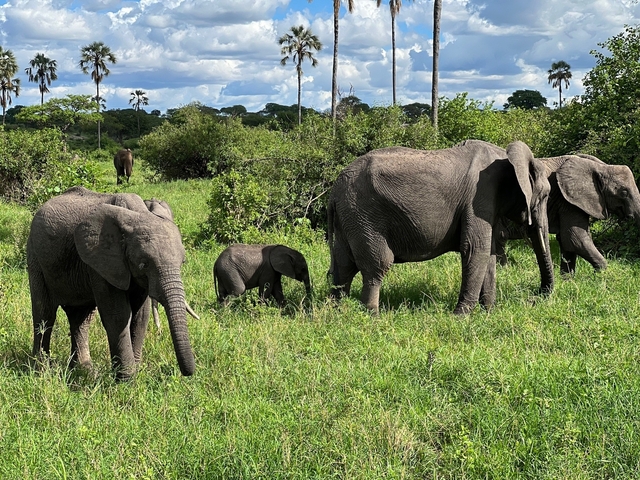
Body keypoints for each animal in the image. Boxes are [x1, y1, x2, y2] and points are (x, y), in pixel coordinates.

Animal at [27, 186, 196, 380]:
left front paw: (134, 374)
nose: (188, 373)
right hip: (36, 257)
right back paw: (41, 371)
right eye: (144, 264)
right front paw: (126, 380)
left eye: (183, 262)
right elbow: (118, 315)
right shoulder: (101, 262)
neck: (137, 212)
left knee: (81, 318)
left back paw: (84, 370)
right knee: (44, 313)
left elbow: (141, 316)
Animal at [327, 139, 554, 315]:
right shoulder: (480, 196)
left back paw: (336, 312)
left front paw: (489, 312)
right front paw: (460, 317)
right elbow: (475, 250)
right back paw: (372, 317)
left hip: (349, 217)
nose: (536, 297)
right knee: (377, 266)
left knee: (343, 266)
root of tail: (334, 190)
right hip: (363, 215)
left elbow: (488, 253)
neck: (506, 157)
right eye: (544, 196)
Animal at [495, 153, 640, 274]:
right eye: (624, 192)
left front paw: (567, 279)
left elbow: (567, 240)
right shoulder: (568, 200)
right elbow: (574, 237)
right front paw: (601, 275)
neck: (600, 167)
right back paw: (504, 271)